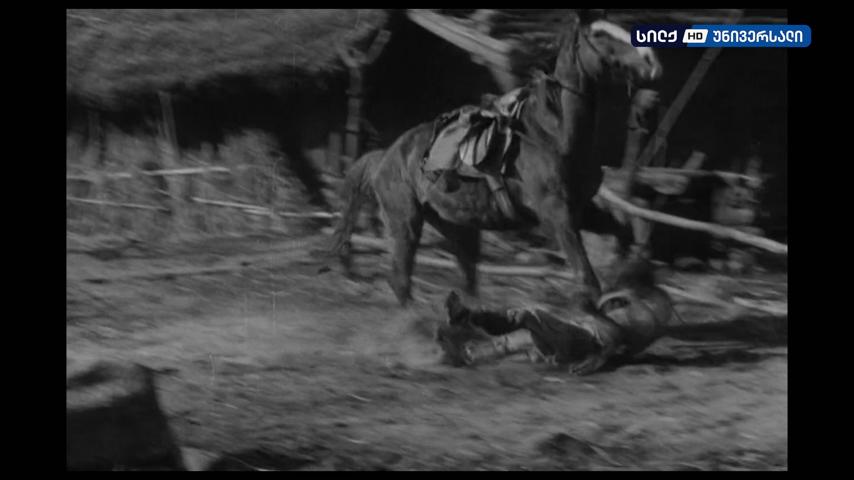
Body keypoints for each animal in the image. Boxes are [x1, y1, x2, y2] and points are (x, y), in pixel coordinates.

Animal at [331, 10, 662, 306]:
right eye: (599, 35)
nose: (652, 63)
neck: (552, 135)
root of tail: (385, 157)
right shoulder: (555, 213)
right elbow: (588, 281)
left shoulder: (582, 209)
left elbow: (623, 234)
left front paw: (635, 277)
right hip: (406, 222)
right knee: (401, 279)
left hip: (457, 226)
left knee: (466, 281)